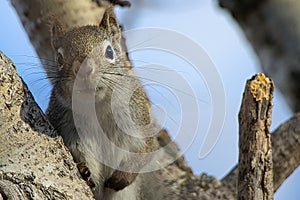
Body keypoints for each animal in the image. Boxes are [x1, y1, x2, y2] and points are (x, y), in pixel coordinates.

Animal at [46, 5, 166, 198]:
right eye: (59, 59)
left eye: (110, 51)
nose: (83, 70)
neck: (97, 106)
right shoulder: (69, 130)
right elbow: (81, 155)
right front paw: (84, 170)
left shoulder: (139, 119)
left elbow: (146, 151)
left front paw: (123, 177)